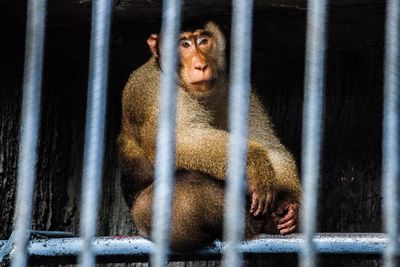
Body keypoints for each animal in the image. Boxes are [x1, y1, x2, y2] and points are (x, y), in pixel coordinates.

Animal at [118, 21, 300, 253]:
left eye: (203, 41)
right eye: (184, 44)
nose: (201, 65)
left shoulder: (236, 86)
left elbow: (268, 143)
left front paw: (291, 200)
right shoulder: (150, 90)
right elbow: (180, 141)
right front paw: (254, 162)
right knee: (188, 191)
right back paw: (262, 222)